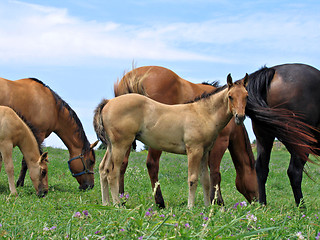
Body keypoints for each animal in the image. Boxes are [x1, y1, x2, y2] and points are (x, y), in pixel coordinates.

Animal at [94, 74, 249, 207]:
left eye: (246, 96)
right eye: (230, 96)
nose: (240, 117)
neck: (203, 113)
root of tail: (108, 102)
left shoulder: (204, 153)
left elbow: (205, 180)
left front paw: (206, 207)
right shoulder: (194, 150)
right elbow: (192, 179)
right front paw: (190, 207)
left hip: (111, 146)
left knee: (103, 169)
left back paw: (106, 203)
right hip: (121, 145)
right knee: (112, 173)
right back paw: (117, 204)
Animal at [245, 63, 320, 206]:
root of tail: (272, 70)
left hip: (264, 137)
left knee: (261, 168)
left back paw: (263, 205)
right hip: (300, 140)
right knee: (294, 172)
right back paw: (302, 207)